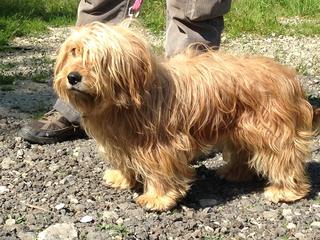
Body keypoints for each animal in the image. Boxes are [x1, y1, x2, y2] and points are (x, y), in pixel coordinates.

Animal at [53, 21, 314, 211]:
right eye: (73, 51)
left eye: (99, 60)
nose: (73, 77)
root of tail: (289, 78)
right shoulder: (122, 141)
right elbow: (124, 160)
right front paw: (121, 177)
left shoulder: (160, 146)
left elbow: (160, 172)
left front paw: (157, 198)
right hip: (240, 129)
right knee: (244, 152)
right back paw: (233, 172)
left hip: (271, 130)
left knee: (285, 157)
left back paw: (286, 190)